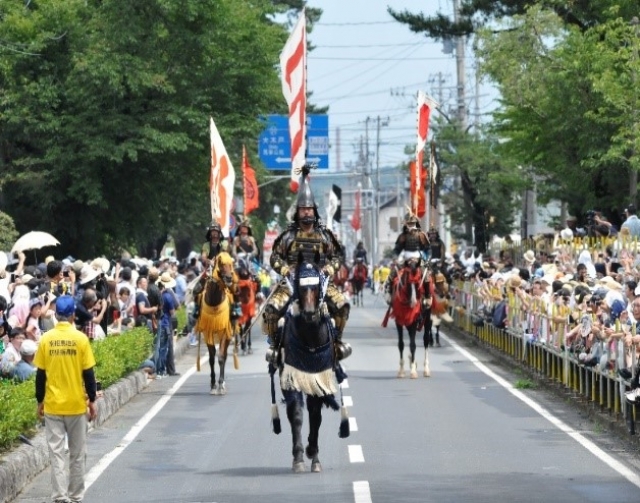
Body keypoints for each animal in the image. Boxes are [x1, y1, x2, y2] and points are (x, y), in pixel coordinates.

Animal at [268, 258, 352, 474]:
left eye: (316, 287)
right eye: (299, 287)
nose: (309, 313)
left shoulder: (318, 377)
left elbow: (315, 416)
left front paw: (313, 454)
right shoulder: (291, 376)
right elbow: (296, 414)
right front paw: (298, 458)